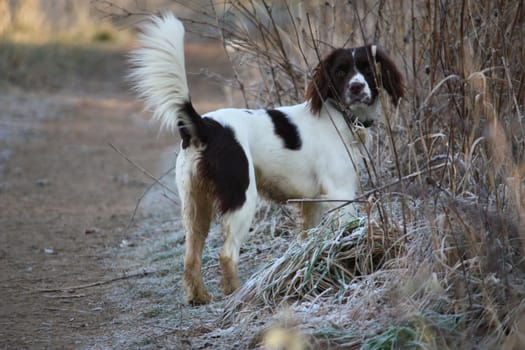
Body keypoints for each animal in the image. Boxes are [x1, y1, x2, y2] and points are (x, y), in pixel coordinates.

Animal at [129, 13, 404, 304]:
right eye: (341, 71)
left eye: (367, 68)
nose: (356, 87)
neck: (341, 117)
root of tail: (205, 126)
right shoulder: (340, 193)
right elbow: (347, 231)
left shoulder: (311, 202)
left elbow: (308, 241)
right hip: (242, 199)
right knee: (227, 254)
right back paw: (237, 295)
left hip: (195, 206)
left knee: (191, 257)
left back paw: (199, 297)